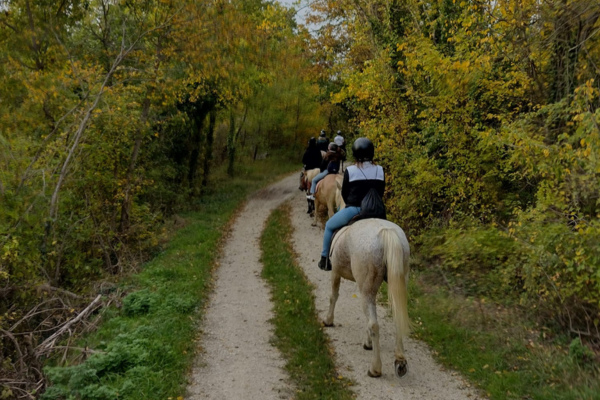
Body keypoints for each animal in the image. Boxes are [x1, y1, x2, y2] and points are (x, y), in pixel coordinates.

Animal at [324, 219, 412, 378]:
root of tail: (386, 232)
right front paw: (368, 342)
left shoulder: (335, 271)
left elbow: (333, 296)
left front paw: (328, 320)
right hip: (398, 282)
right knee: (397, 318)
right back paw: (400, 361)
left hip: (366, 290)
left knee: (373, 324)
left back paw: (375, 369)